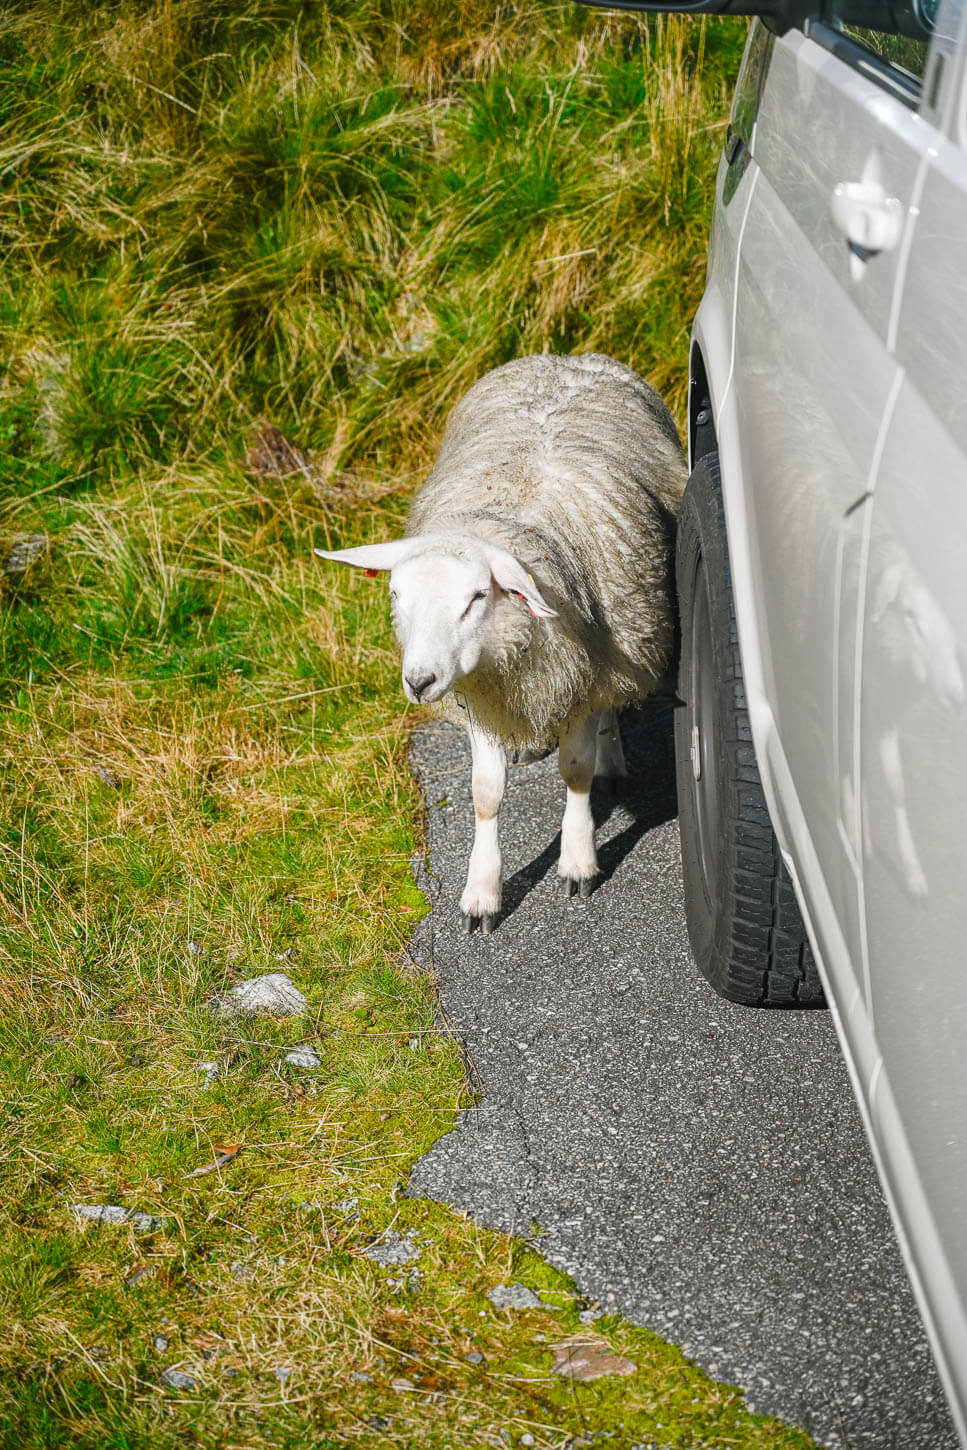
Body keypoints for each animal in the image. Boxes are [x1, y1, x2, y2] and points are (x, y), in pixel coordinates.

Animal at [317, 352, 687, 932]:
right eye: (396, 593)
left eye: (475, 597)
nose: (419, 682)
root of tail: (566, 357)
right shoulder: (484, 696)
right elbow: (485, 796)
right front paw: (481, 893)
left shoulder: (579, 679)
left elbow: (575, 772)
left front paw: (577, 861)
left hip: (617, 645)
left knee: (609, 704)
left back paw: (610, 760)